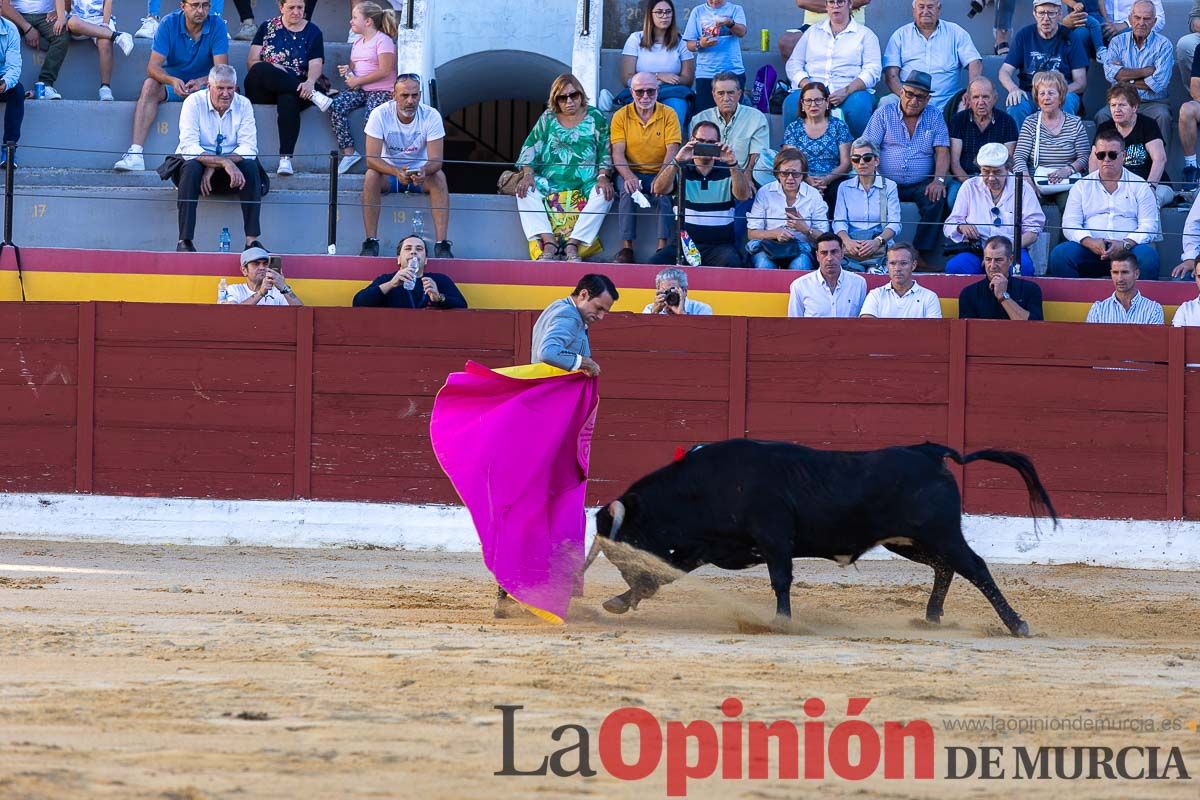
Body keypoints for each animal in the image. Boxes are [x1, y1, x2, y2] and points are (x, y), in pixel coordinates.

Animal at [585, 438, 1056, 638]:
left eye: (624, 545)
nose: (632, 580)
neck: (710, 483)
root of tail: (929, 451)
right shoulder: (708, 547)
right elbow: (670, 572)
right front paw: (620, 601)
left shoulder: (774, 538)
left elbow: (781, 579)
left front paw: (782, 622)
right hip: (908, 541)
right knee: (946, 568)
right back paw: (932, 617)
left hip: (940, 532)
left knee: (974, 567)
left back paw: (1016, 624)